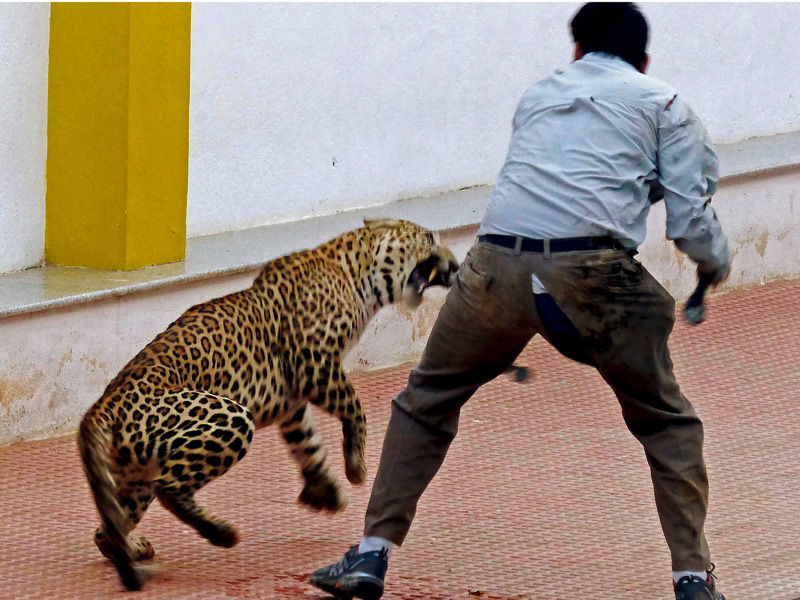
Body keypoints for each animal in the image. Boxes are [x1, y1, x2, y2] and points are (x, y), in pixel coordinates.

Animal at [77, 218, 459, 591]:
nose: (456, 266)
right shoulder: (314, 365)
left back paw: (132, 547)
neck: (356, 273)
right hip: (229, 417)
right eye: (429, 237)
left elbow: (307, 443)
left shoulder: (291, 402)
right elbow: (355, 407)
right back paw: (222, 533)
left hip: (135, 475)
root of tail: (101, 408)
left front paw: (325, 491)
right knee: (169, 488)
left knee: (107, 528)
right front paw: (355, 467)